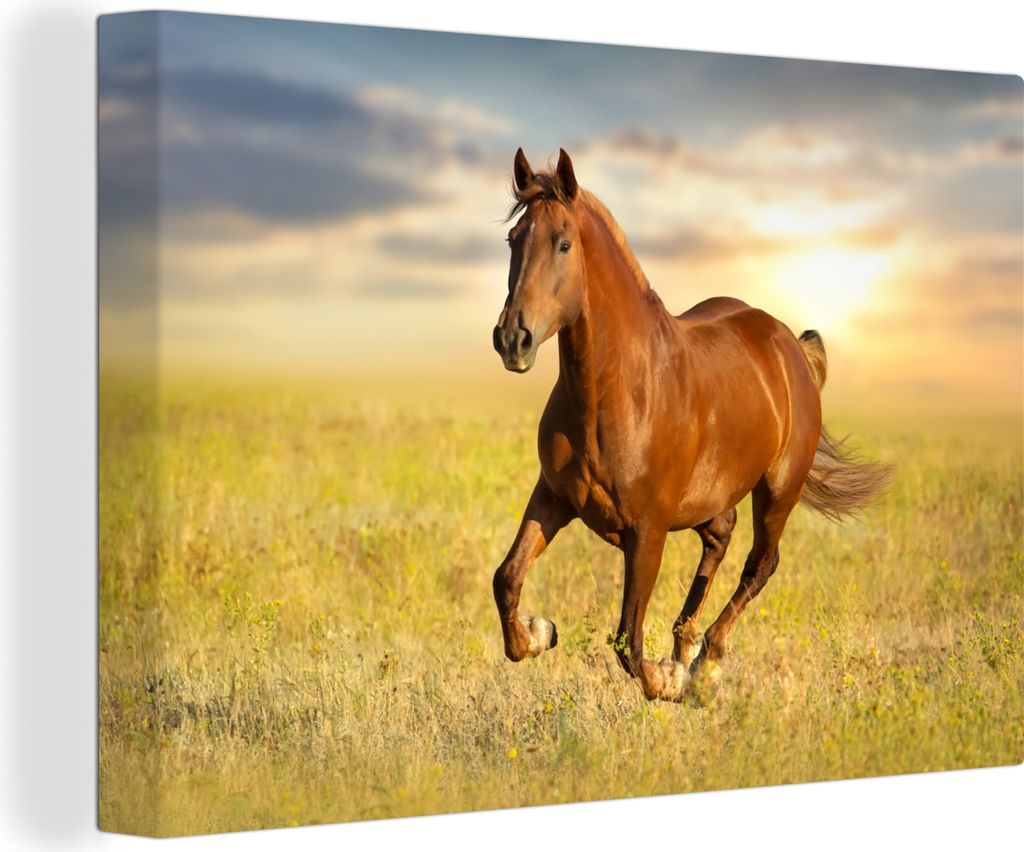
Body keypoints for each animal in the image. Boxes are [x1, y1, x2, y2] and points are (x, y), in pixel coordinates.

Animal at [491, 147, 893, 702]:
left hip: (777, 492)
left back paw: (705, 662)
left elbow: (628, 640)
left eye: (564, 243)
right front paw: (539, 632)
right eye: (513, 239)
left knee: (760, 564)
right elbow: (506, 578)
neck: (618, 392)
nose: (513, 339)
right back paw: (685, 646)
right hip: (711, 497)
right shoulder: (553, 497)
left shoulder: (648, 531)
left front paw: (668, 679)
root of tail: (789, 343)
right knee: (720, 537)